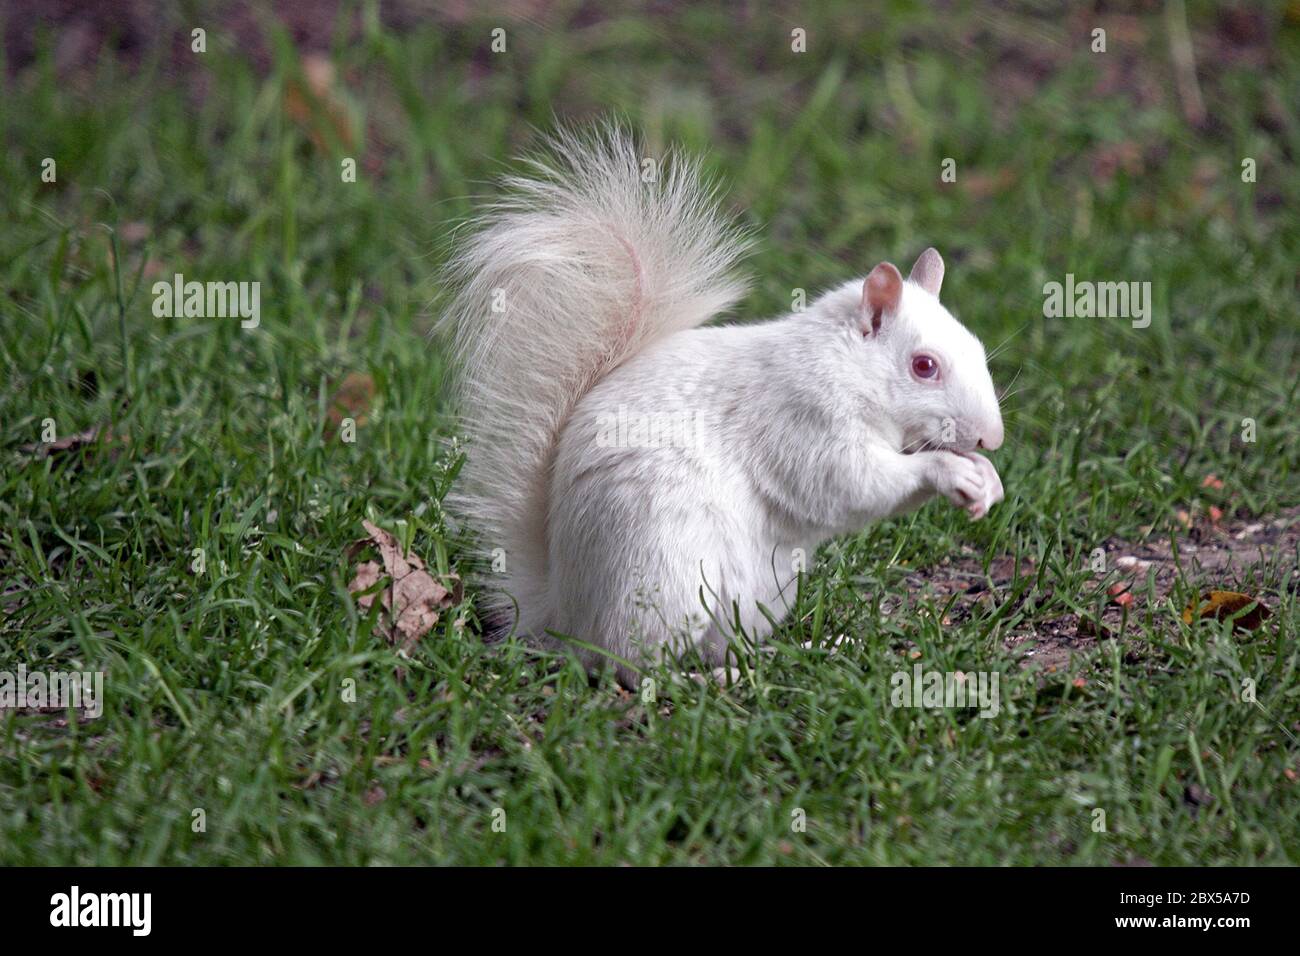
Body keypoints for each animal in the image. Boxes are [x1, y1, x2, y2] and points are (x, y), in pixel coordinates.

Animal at [444, 126, 1005, 687]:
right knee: (632, 665)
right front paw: (948, 471)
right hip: (666, 575)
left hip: (755, 596)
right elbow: (851, 484)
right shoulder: (802, 418)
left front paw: (986, 477)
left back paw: (790, 653)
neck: (844, 365)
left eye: (977, 347)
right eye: (924, 366)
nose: (991, 438)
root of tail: (565, 615)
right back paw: (699, 680)